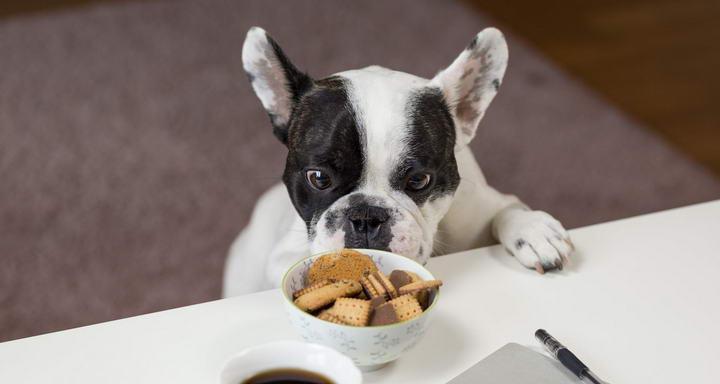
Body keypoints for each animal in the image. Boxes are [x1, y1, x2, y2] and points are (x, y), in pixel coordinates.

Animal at [222, 27, 572, 296]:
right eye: (318, 178)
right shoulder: (283, 255)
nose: (365, 216)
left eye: (419, 180)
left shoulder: (482, 206)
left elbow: (507, 210)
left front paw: (534, 230)